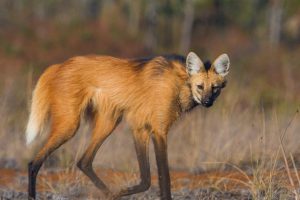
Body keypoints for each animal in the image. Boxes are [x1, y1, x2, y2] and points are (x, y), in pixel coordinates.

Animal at [27, 51, 231, 198]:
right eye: (200, 87)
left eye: (214, 88)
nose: (207, 102)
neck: (180, 84)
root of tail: (58, 65)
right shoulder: (157, 131)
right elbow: (162, 178)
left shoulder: (141, 129)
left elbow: (147, 179)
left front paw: (118, 193)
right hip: (70, 126)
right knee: (33, 163)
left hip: (109, 122)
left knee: (84, 161)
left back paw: (108, 194)